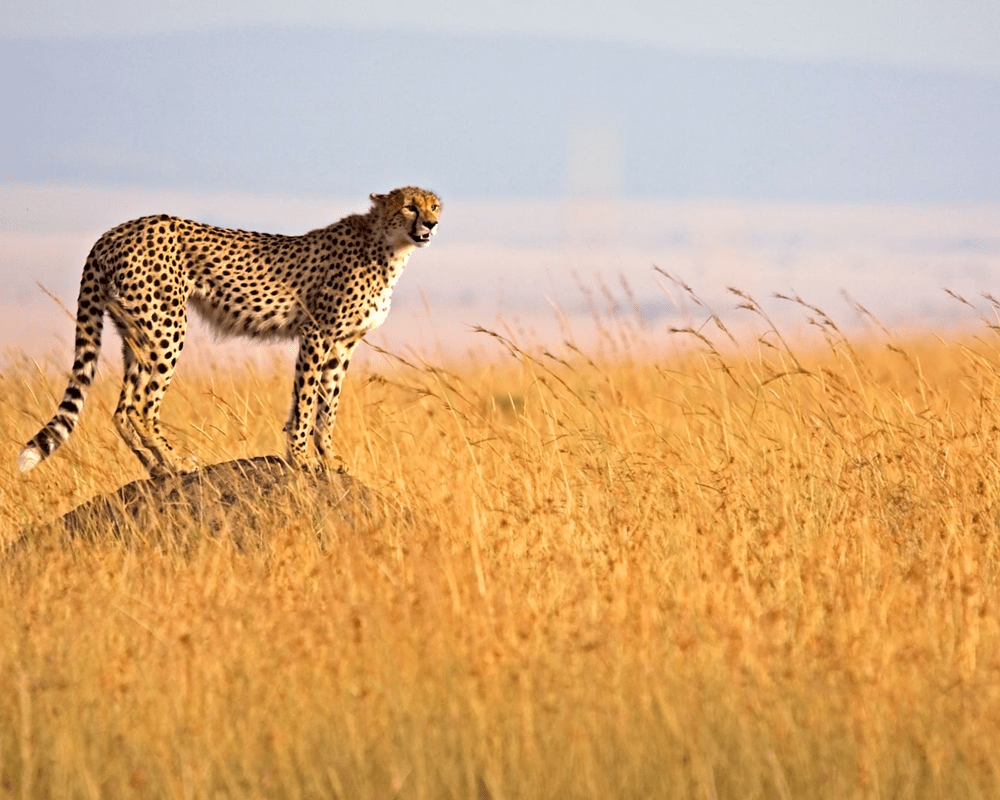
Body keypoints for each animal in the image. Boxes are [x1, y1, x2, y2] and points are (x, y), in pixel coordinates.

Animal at [17, 186, 441, 477]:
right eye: (409, 205)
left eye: (434, 205)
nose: (432, 224)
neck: (387, 247)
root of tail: (118, 229)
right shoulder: (317, 333)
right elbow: (307, 401)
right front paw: (301, 458)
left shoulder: (342, 344)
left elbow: (326, 405)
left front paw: (328, 458)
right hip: (166, 326)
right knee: (142, 405)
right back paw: (177, 462)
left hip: (136, 331)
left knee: (122, 409)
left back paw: (155, 468)